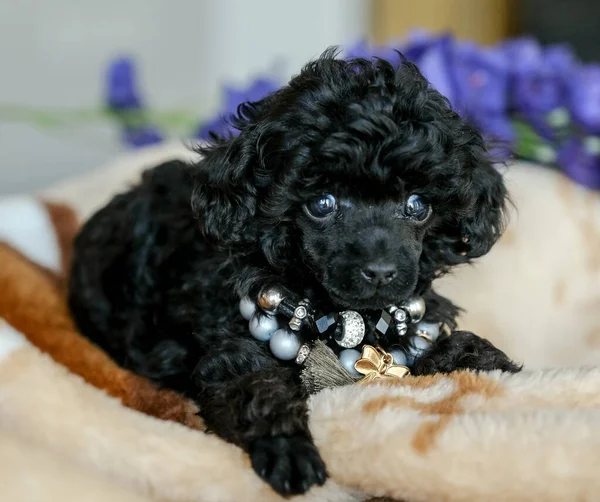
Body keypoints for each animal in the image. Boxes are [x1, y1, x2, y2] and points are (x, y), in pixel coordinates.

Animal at [68, 49, 520, 496]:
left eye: (417, 206)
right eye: (321, 204)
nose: (380, 271)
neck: (344, 316)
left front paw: (489, 361)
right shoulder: (227, 350)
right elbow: (256, 386)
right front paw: (288, 449)